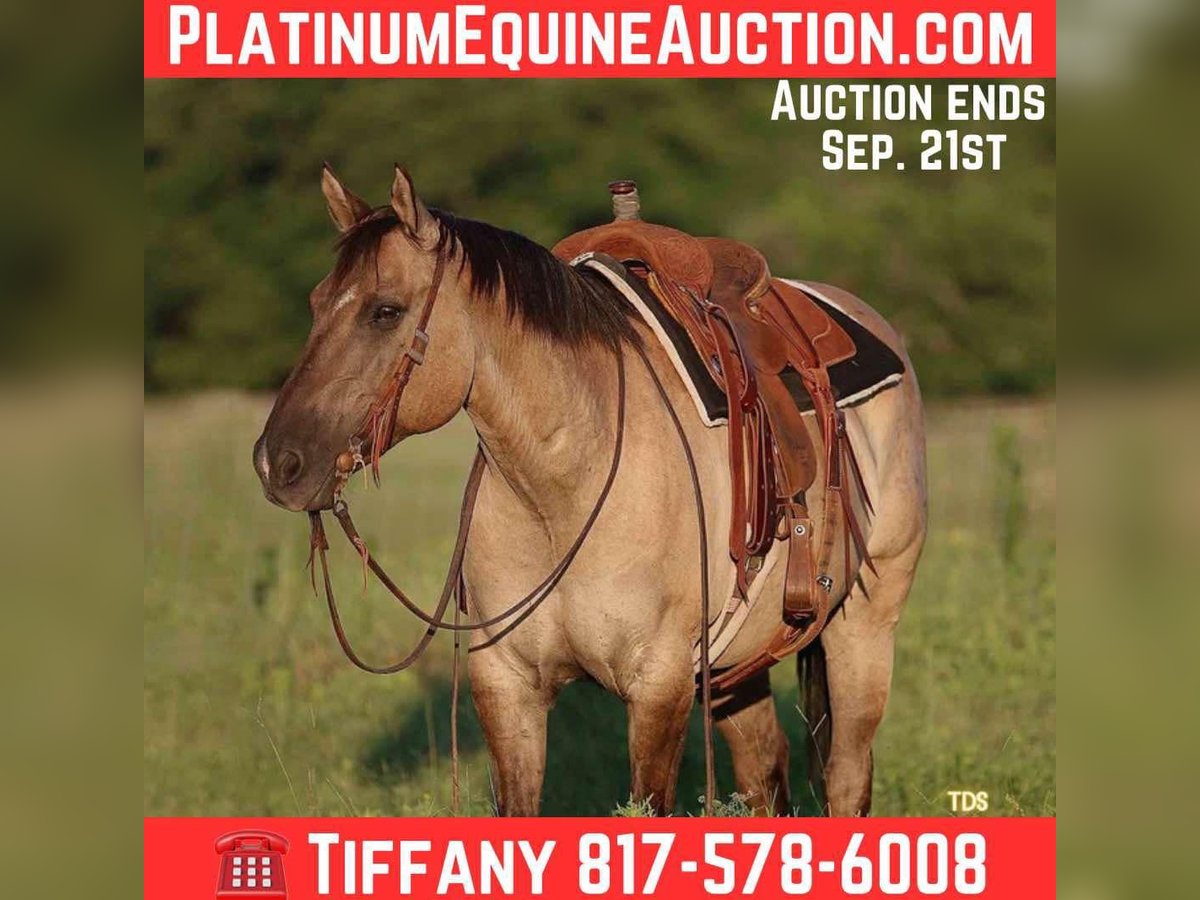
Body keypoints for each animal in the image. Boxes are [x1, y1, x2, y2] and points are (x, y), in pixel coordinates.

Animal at [253, 164, 927, 816]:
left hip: (865, 626)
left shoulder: (658, 685)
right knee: (764, 775)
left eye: (385, 311)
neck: (561, 490)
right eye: (316, 303)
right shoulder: (506, 684)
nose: (276, 463)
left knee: (846, 777)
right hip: (738, 667)